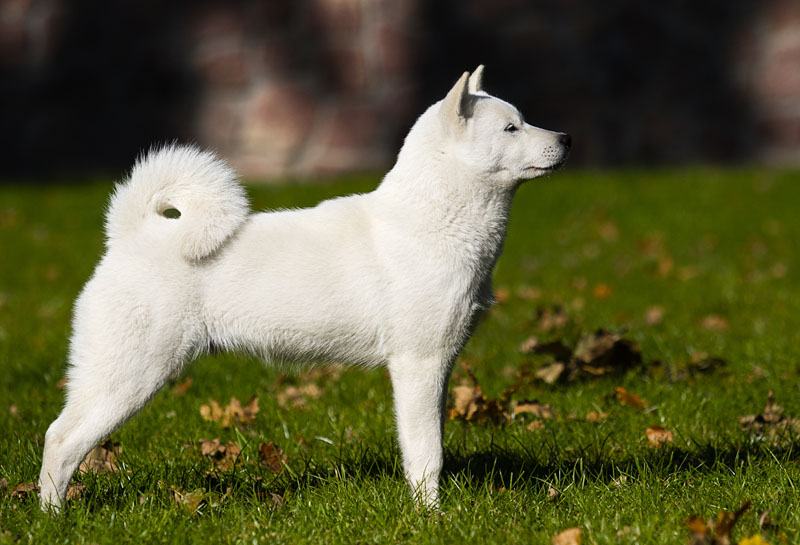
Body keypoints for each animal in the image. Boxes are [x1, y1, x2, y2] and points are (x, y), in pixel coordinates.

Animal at [40, 65, 572, 510]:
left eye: (523, 121)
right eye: (511, 128)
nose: (567, 138)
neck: (432, 221)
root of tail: (130, 234)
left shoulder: (436, 369)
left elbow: (426, 445)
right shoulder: (418, 365)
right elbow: (427, 455)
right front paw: (431, 515)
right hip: (129, 376)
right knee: (60, 440)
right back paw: (53, 518)